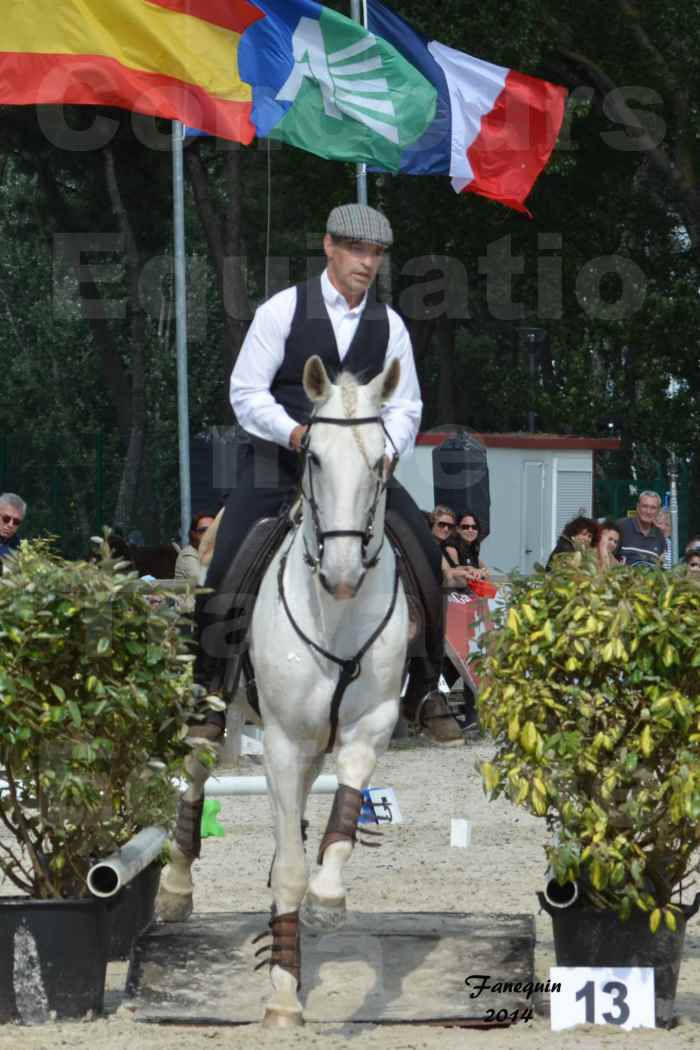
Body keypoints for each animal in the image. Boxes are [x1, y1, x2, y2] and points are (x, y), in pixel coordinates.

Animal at [157, 359, 411, 1024]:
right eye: (314, 457)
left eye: (381, 461)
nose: (344, 573)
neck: (336, 614)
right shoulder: (280, 741)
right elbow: (291, 871)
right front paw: (282, 997)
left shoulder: (369, 727)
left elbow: (342, 817)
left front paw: (327, 896)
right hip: (217, 703)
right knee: (196, 767)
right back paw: (174, 887)